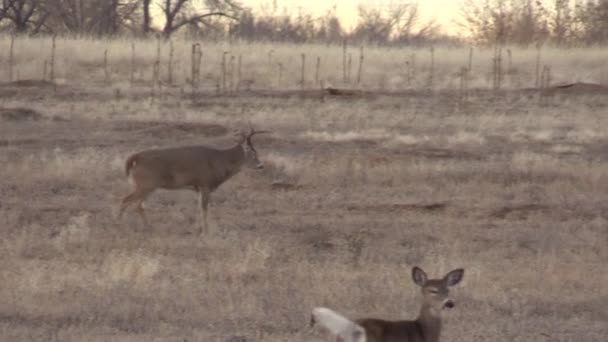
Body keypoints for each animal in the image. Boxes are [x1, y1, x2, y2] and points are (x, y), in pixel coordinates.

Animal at [117, 124, 270, 234]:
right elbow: (204, 209)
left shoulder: (198, 188)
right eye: (253, 152)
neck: (220, 161)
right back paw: (121, 226)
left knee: (138, 204)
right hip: (146, 184)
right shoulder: (205, 184)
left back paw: (146, 228)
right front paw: (206, 231)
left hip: (146, 186)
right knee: (127, 201)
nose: (261, 166)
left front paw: (200, 229)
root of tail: (135, 158)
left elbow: (199, 208)